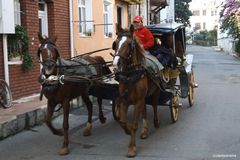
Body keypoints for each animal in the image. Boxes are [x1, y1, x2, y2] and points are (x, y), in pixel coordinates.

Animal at [112, 25, 163, 158]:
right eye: (116, 43)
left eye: (129, 44)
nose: (116, 63)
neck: (130, 75)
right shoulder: (124, 100)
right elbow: (123, 122)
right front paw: (128, 132)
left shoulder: (138, 100)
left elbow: (134, 125)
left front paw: (132, 148)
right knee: (144, 111)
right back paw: (145, 131)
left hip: (155, 92)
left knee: (154, 106)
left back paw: (156, 122)